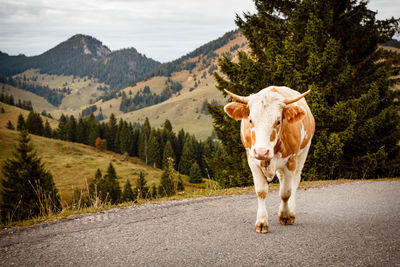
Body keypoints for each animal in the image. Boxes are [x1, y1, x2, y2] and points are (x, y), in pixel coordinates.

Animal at [223, 86, 314, 234]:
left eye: (278, 121)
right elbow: (261, 191)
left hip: (303, 153)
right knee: (283, 179)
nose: (261, 151)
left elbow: (285, 192)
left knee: (295, 181)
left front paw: (285, 216)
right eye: (250, 120)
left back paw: (291, 212)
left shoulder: (291, 160)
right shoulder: (252, 159)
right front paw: (261, 222)